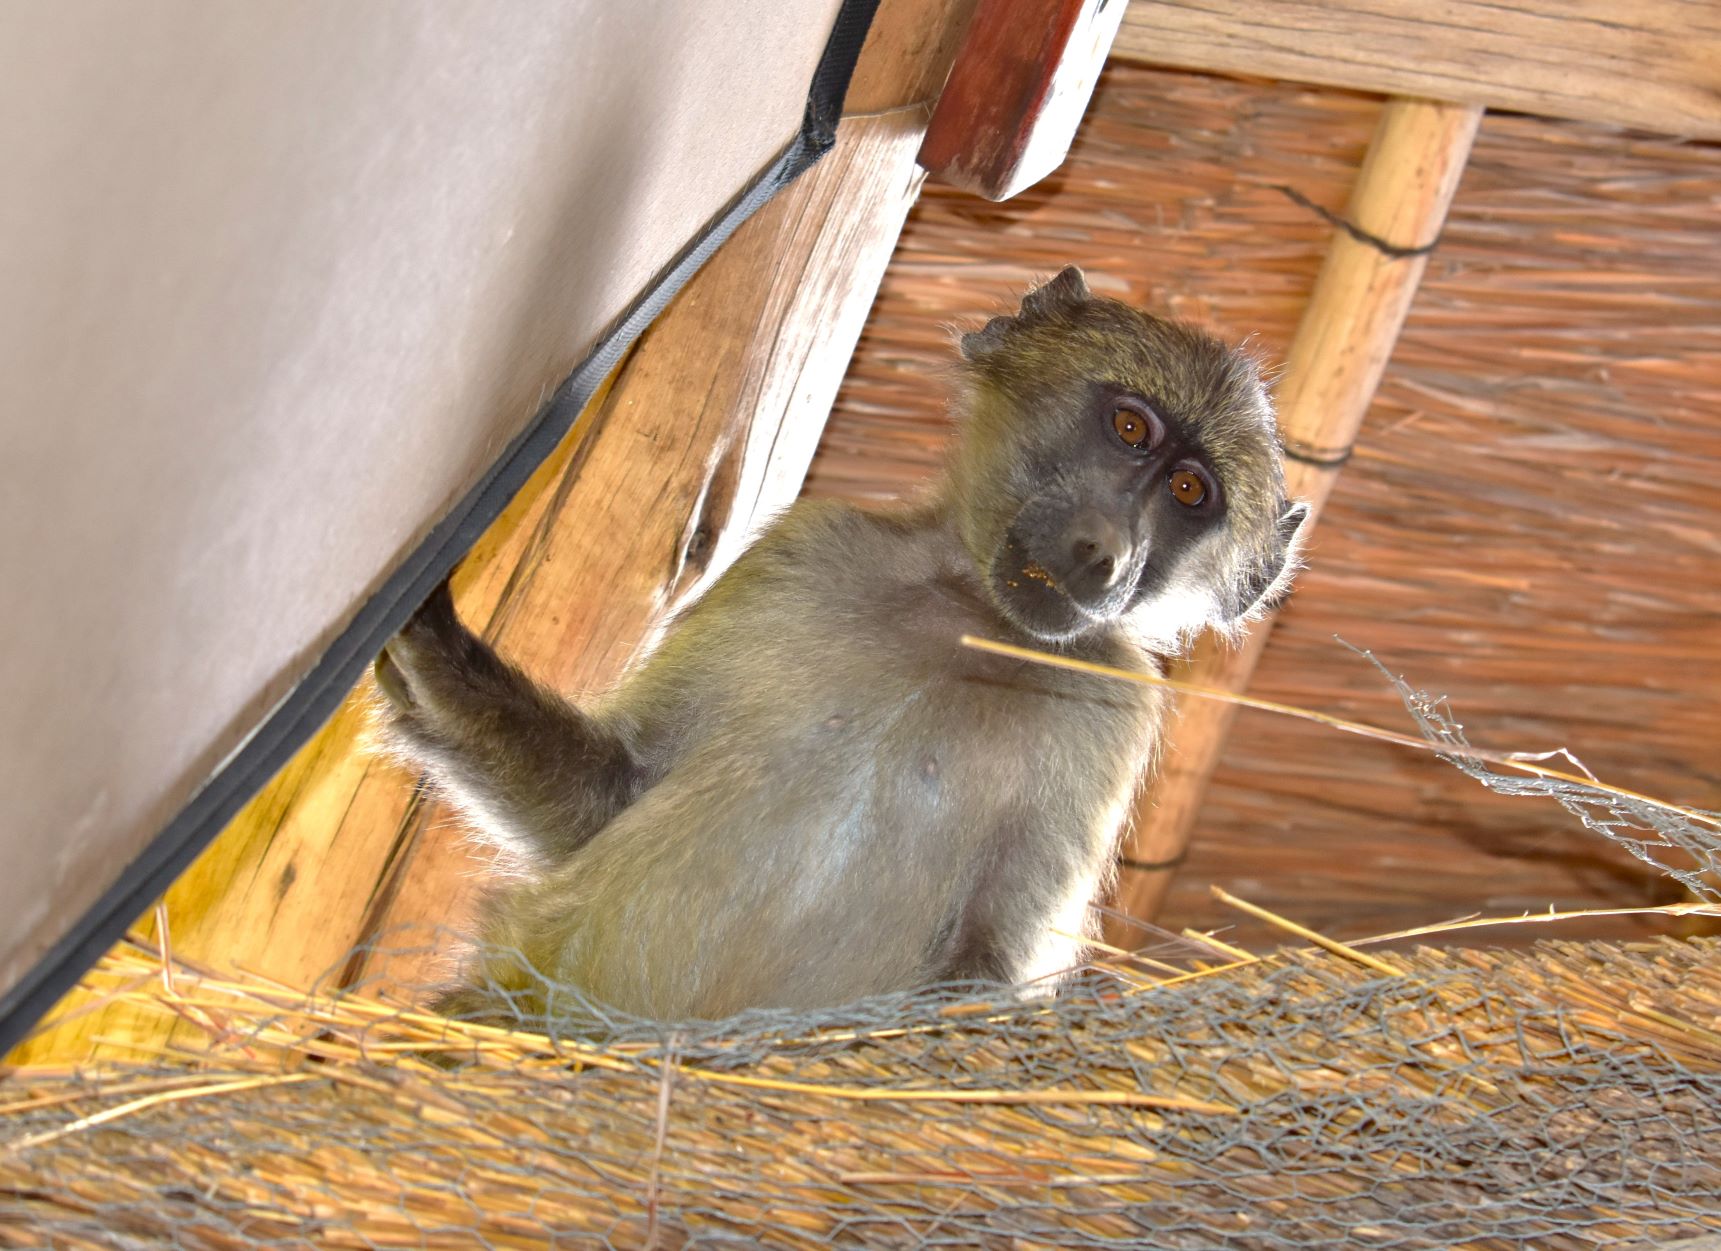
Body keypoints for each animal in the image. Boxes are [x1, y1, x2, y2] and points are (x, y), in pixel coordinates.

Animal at [374, 265, 1308, 1024]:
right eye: (1129, 430)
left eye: (1189, 493)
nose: (1104, 552)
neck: (969, 618)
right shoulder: (811, 546)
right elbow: (613, 791)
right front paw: (435, 654)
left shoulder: (1114, 703)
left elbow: (987, 963)